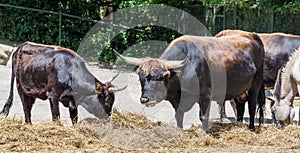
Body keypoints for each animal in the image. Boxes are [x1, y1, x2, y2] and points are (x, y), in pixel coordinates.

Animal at [113, 33, 264, 133]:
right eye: (141, 78)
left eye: (161, 77)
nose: (145, 99)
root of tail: (252, 35)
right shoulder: (176, 98)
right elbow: (178, 114)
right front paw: (179, 130)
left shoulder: (205, 94)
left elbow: (203, 116)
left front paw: (206, 132)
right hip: (239, 88)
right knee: (240, 104)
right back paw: (238, 124)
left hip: (256, 83)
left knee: (251, 104)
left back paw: (251, 128)